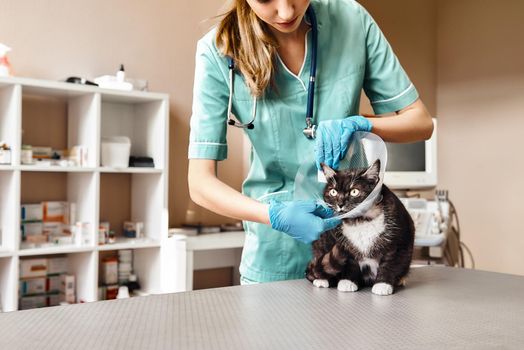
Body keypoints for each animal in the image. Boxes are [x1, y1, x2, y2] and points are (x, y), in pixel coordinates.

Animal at [308, 159, 414, 296]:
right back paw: (322, 280)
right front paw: (348, 282)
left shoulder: (399, 240)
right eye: (333, 191)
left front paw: (382, 284)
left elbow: (390, 263)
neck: (359, 221)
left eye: (354, 191)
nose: (340, 204)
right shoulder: (344, 246)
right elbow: (350, 264)